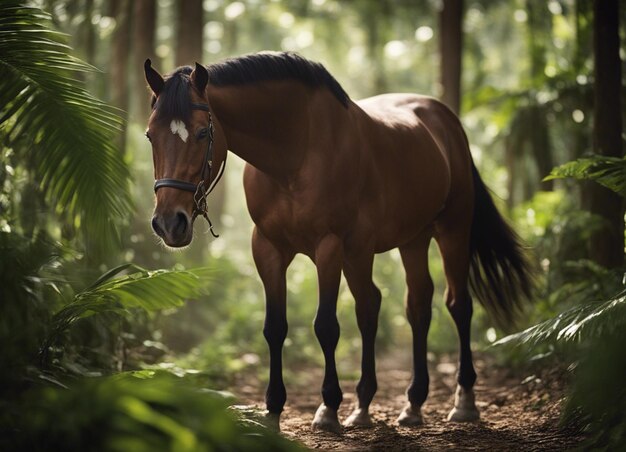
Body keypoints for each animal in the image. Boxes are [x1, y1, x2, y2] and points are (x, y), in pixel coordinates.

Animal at [143, 51, 532, 432]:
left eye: (202, 132)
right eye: (149, 135)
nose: (169, 222)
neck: (295, 154)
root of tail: (445, 120)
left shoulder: (328, 246)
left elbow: (326, 326)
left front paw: (328, 409)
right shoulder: (268, 248)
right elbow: (275, 328)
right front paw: (273, 410)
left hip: (451, 229)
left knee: (457, 304)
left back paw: (463, 402)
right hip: (407, 241)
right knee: (407, 305)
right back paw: (402, 404)